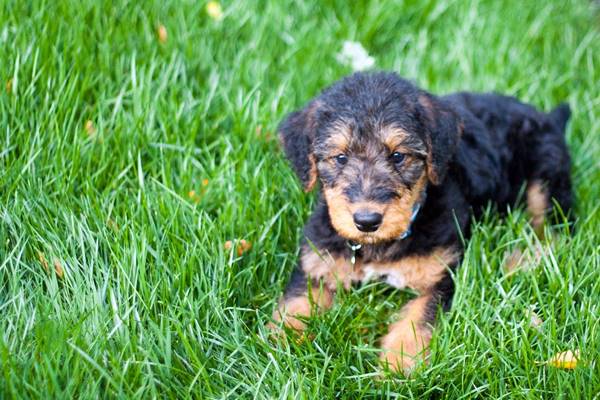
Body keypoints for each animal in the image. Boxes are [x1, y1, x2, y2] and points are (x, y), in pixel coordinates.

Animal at [270, 71, 576, 372]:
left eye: (398, 156)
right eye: (340, 157)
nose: (367, 221)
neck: (379, 246)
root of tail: (550, 118)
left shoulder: (441, 273)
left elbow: (417, 319)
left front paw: (396, 367)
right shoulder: (317, 262)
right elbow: (297, 303)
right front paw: (278, 345)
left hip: (547, 180)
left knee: (556, 234)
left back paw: (519, 261)